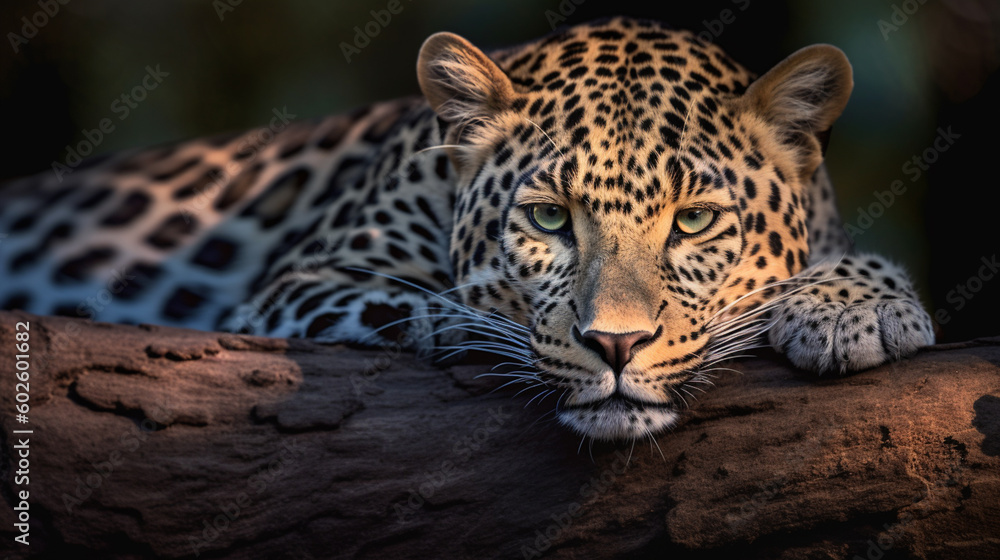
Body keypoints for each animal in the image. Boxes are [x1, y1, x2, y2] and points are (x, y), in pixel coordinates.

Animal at [0, 17, 934, 441]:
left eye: (696, 221)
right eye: (550, 217)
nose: (617, 346)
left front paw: (854, 306)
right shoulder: (307, 279)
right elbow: (424, 306)